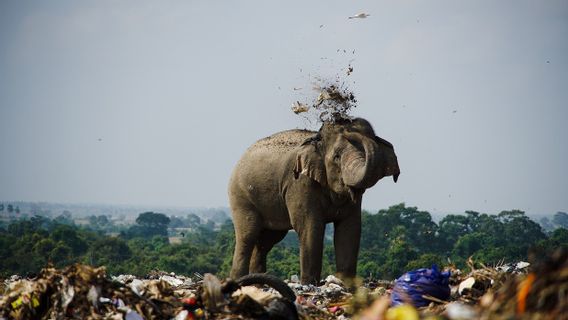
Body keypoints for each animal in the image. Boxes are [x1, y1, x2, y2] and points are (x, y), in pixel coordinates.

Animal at [227, 117, 400, 282]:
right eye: (337, 157)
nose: (347, 121)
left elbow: (350, 228)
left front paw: (346, 285)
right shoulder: (300, 183)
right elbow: (310, 226)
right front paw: (309, 283)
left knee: (267, 241)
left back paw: (257, 282)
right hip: (240, 196)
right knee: (247, 235)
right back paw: (239, 281)